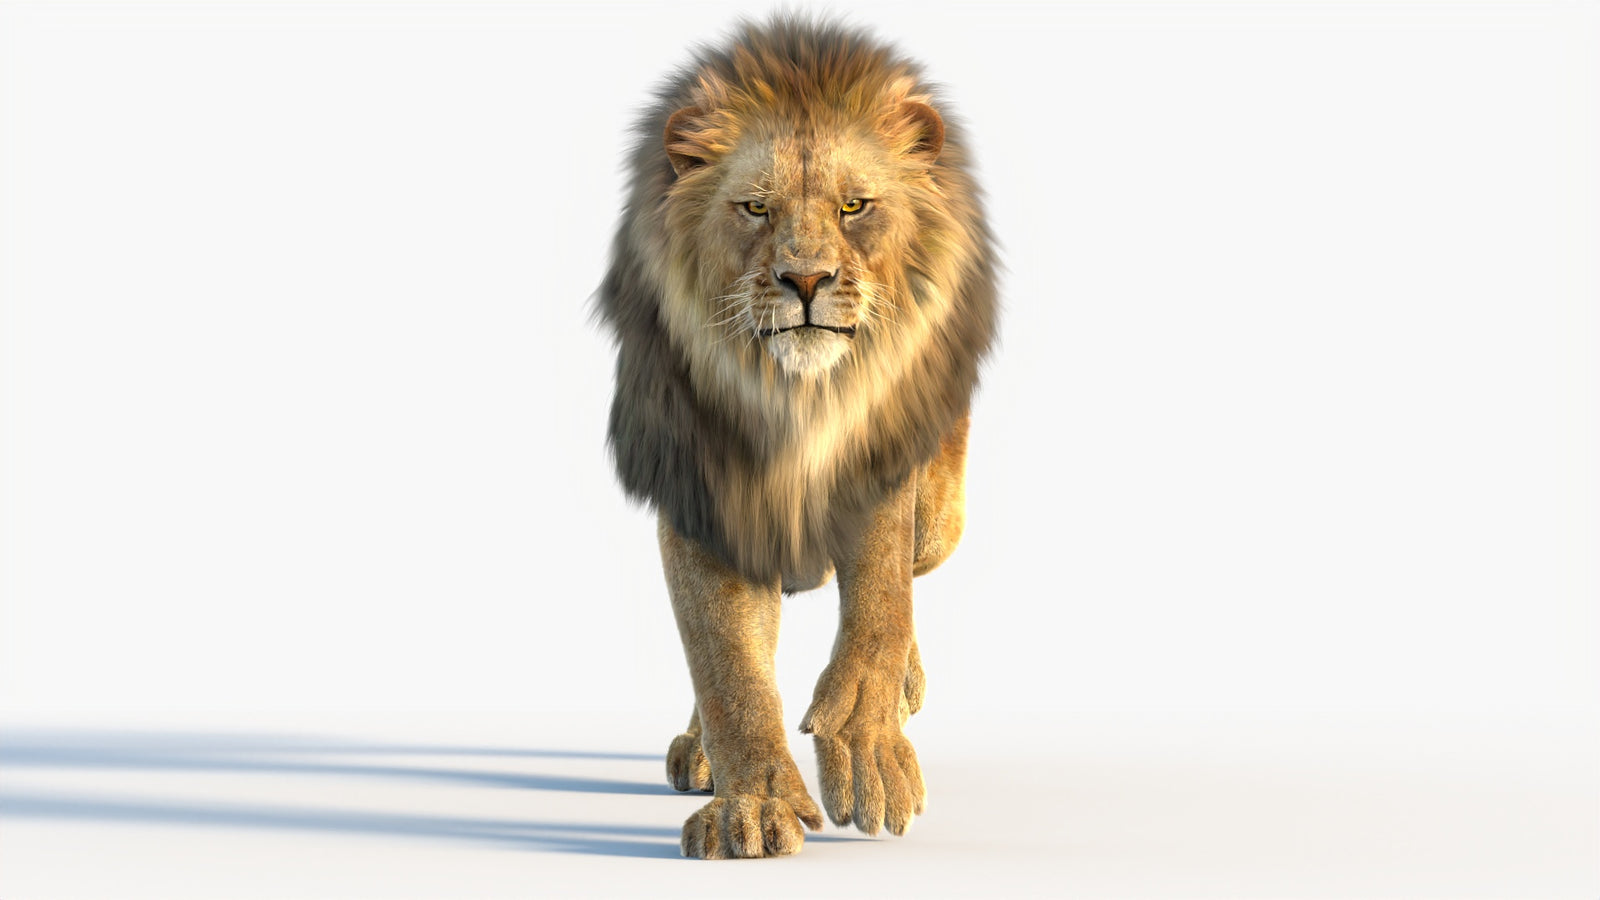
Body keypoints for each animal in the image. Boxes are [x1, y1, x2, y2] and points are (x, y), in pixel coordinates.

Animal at [595, 17, 999, 859]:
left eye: (853, 205)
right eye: (754, 207)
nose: (805, 280)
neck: (794, 400)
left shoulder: (881, 461)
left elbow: (880, 603)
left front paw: (870, 749)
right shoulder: (702, 489)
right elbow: (727, 661)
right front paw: (750, 808)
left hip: (943, 514)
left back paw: (906, 689)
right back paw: (703, 753)